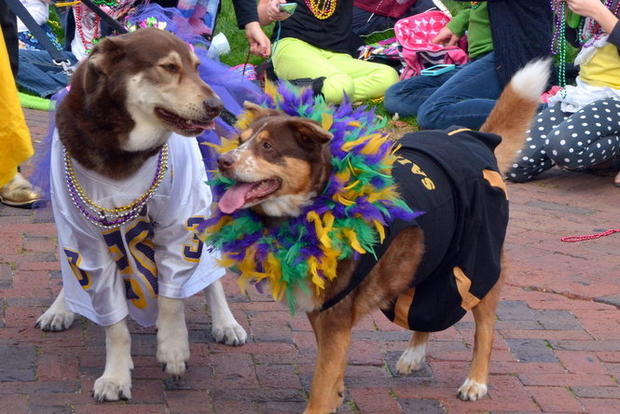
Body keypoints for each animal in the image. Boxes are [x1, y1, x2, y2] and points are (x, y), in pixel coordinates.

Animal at [35, 28, 246, 402]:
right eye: (169, 67)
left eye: (196, 67)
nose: (217, 107)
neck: (121, 150)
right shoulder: (85, 240)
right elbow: (113, 323)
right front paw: (115, 377)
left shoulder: (182, 222)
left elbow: (173, 299)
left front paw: (173, 349)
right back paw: (61, 308)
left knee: (208, 277)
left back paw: (226, 323)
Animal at [214, 59, 552, 414]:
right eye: (239, 141)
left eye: (267, 147)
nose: (222, 161)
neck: (318, 206)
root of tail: (474, 142)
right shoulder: (323, 311)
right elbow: (331, 371)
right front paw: (338, 394)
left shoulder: (335, 316)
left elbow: (321, 385)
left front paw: (325, 400)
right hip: (430, 265)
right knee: (426, 312)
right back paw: (414, 355)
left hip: (476, 268)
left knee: (485, 330)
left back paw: (476, 381)